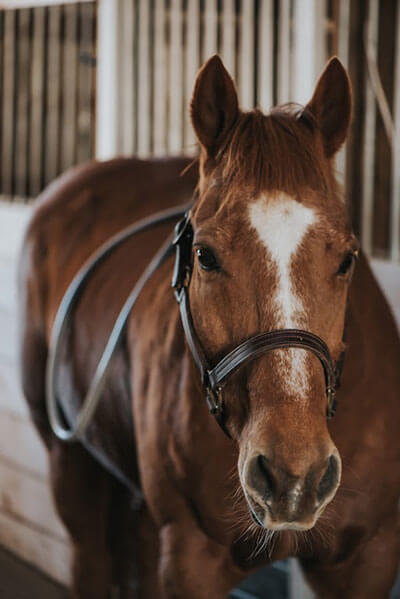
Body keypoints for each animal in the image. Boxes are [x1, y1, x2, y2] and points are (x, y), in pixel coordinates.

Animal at [19, 54, 400, 596]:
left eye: (348, 258)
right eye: (205, 256)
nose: (293, 477)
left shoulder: (368, 558)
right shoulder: (191, 555)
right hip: (70, 465)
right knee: (90, 556)